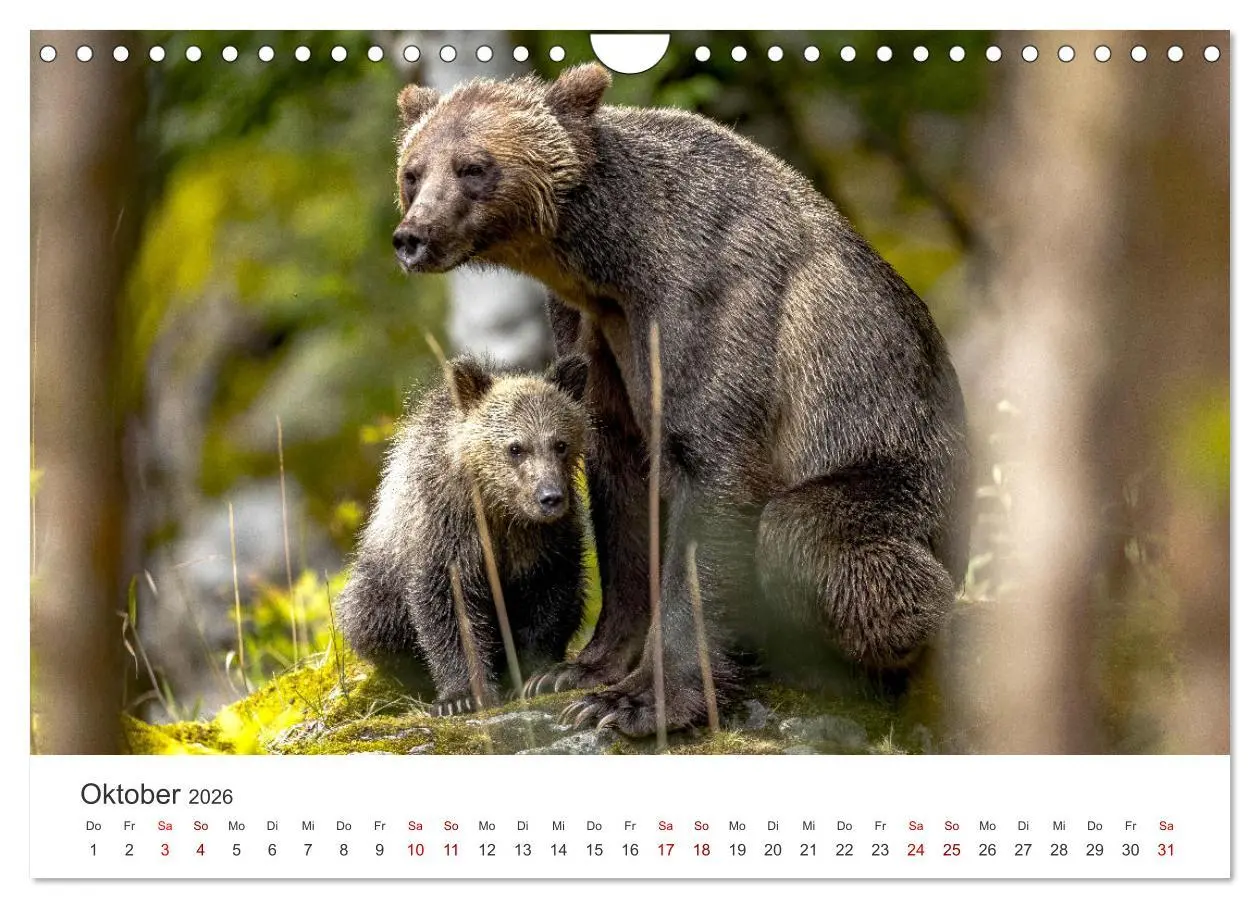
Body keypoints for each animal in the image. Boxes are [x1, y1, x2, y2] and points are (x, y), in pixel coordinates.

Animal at [336, 353, 592, 715]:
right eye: (516, 448)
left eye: (560, 444)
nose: (550, 497)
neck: (500, 511)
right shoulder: (448, 534)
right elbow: (450, 611)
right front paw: (461, 696)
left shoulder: (548, 543)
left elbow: (551, 600)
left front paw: (538, 675)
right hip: (379, 584)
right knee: (370, 621)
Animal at [388, 64, 971, 735]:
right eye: (413, 171)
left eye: (472, 166)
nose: (412, 237)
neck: (613, 263)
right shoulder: (593, 331)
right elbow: (623, 484)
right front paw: (580, 671)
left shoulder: (706, 305)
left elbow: (710, 472)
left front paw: (638, 702)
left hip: (903, 478)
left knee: (811, 536)